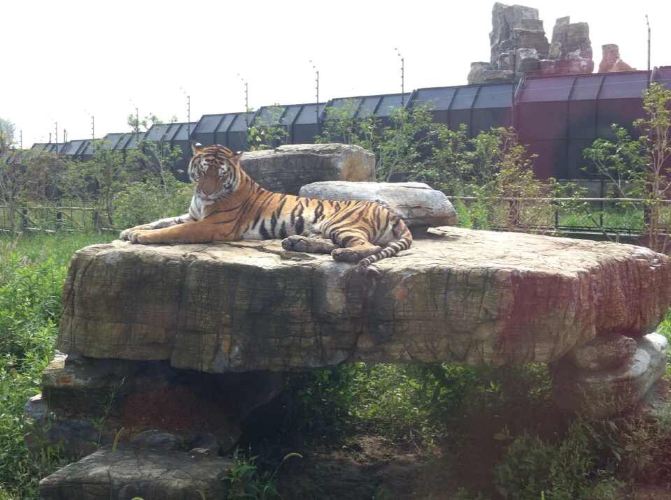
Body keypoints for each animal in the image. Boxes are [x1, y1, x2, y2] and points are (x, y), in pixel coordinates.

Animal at [121, 145, 414, 270]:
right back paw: (297, 243)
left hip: (341, 222)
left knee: (366, 246)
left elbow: (171, 231)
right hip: (327, 228)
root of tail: (394, 214)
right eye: (202, 171)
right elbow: (163, 221)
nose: (206, 191)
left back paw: (342, 255)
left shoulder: (211, 224)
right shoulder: (193, 215)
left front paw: (140, 236)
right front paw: (130, 230)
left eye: (219, 174)